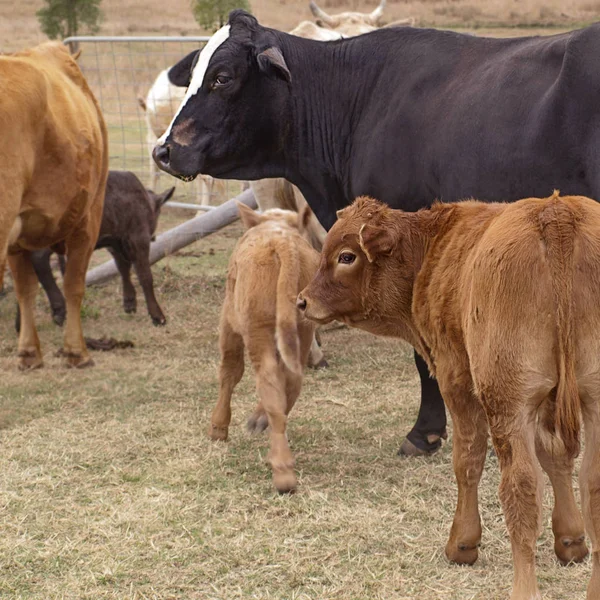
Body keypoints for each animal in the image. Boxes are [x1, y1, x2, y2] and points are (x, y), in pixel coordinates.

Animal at [0, 42, 108, 368]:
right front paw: (77, 351)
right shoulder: (89, 219)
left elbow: (25, 289)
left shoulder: (16, 241)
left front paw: (28, 352)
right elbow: (74, 285)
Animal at [20, 171, 173, 330]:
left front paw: (129, 302)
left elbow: (123, 268)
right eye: (157, 213)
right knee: (38, 258)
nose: (153, 236)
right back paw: (59, 309)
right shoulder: (138, 236)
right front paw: (157, 315)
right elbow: (145, 275)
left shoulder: (114, 242)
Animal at [212, 202, 324, 492]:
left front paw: (218, 427)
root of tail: (282, 242)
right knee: (292, 381)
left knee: (269, 381)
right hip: (301, 330)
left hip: (256, 330)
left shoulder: (228, 322)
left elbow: (229, 372)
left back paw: (282, 472)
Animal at [300, 193, 600, 600]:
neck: (435, 248)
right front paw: (570, 540)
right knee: (592, 486)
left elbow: (467, 460)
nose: (302, 301)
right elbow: (556, 457)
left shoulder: (456, 379)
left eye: (347, 256)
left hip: (505, 403)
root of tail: (556, 212)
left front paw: (462, 542)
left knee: (520, 492)